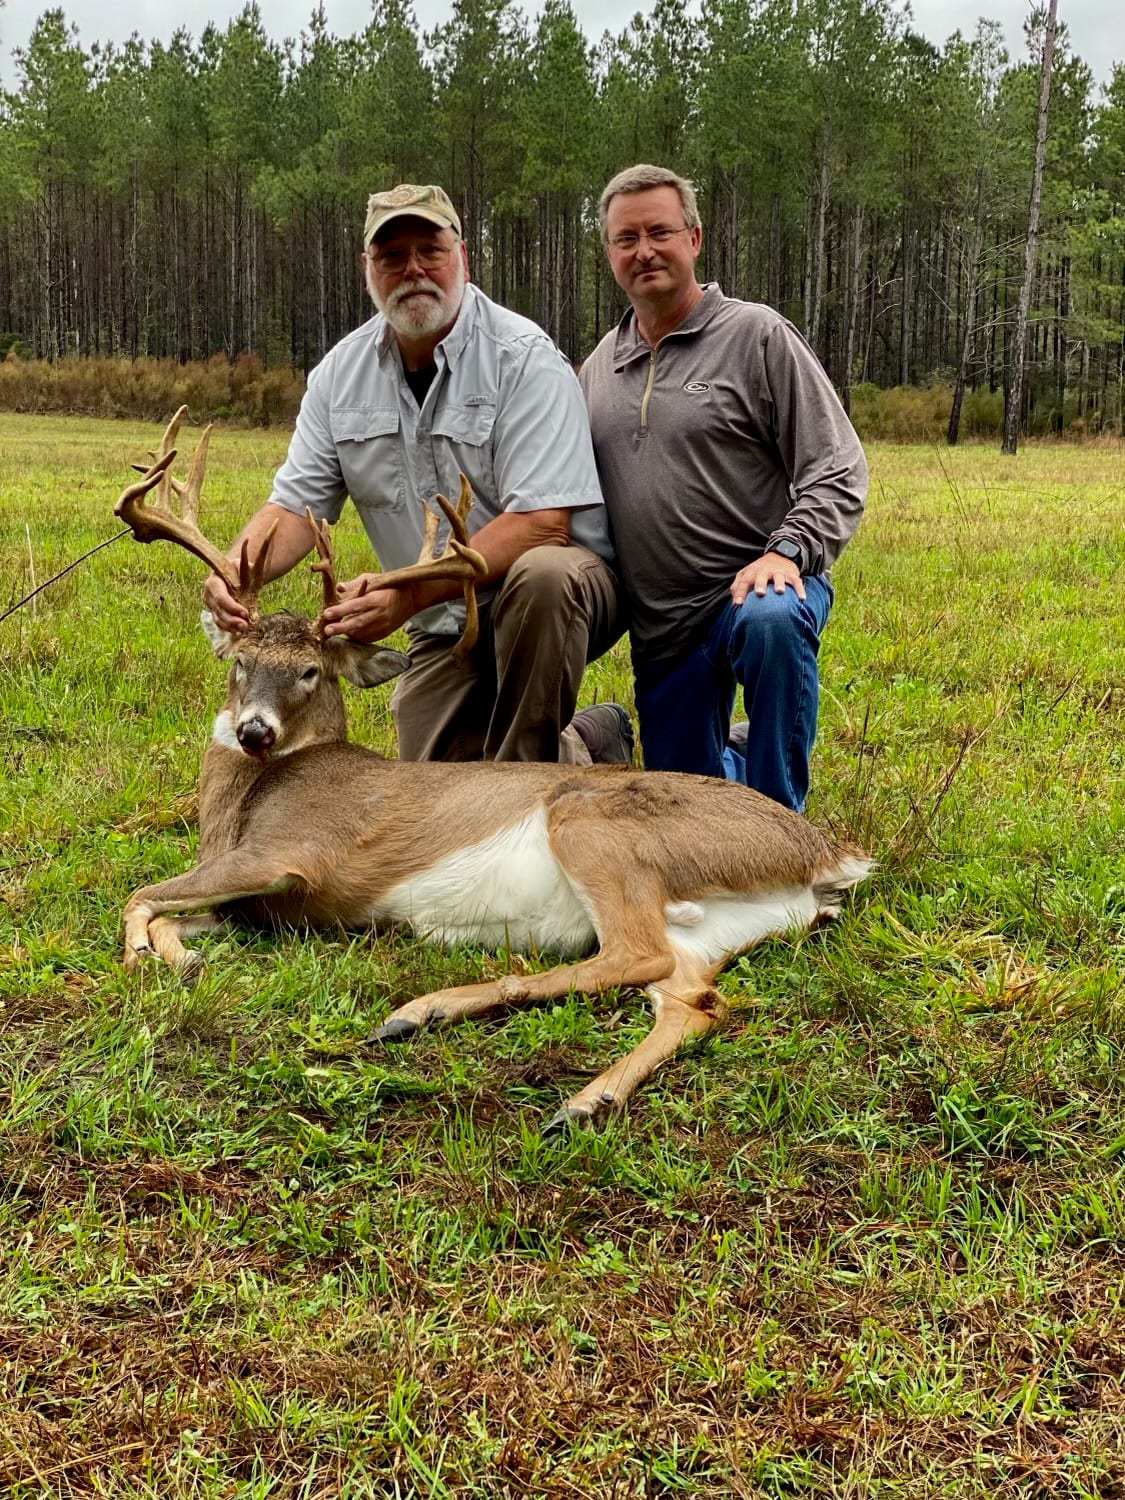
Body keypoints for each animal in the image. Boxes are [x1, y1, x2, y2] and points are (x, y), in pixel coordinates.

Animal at [113, 412, 872, 1132]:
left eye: (309, 672)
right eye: (240, 662)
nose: (253, 732)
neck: (244, 807)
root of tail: (825, 852)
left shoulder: (291, 853)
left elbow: (142, 896)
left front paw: (154, 960)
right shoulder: (254, 904)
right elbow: (174, 910)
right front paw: (182, 957)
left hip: (594, 825)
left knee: (634, 955)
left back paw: (428, 1010)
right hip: (714, 928)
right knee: (696, 1001)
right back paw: (573, 1096)